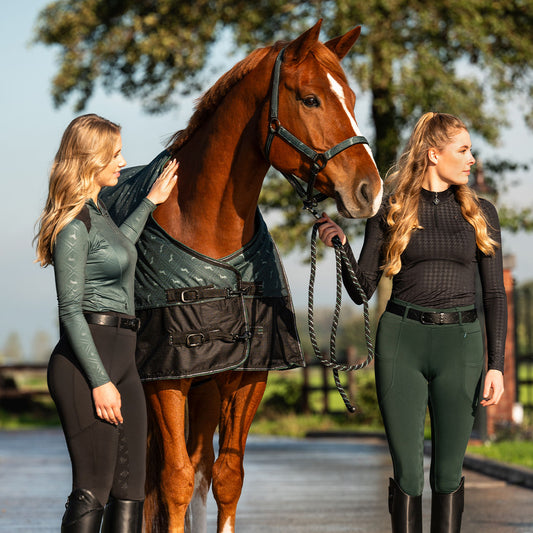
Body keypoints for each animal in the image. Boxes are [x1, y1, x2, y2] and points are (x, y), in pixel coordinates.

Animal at [102, 18, 380, 528]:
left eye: (351, 98)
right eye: (310, 99)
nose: (370, 189)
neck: (208, 229)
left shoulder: (248, 374)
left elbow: (226, 477)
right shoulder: (166, 378)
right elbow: (173, 480)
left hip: (207, 387)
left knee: (198, 464)